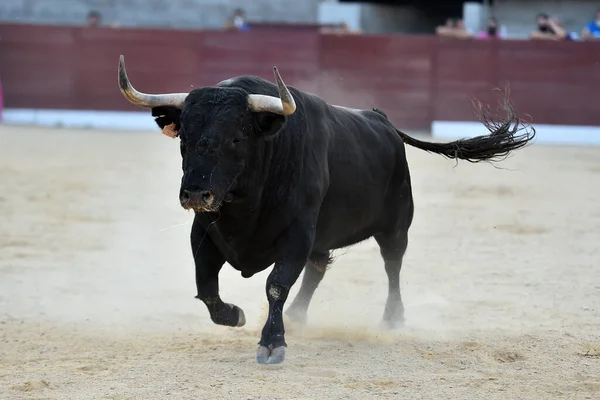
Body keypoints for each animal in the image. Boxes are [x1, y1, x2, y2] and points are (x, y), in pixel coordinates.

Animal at [116, 56, 536, 366]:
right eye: (184, 137)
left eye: (236, 138)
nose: (195, 194)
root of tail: (384, 121)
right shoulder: (203, 233)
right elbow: (206, 288)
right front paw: (236, 315)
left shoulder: (297, 233)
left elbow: (276, 284)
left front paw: (272, 343)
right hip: (324, 237)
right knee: (317, 270)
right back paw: (298, 317)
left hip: (395, 226)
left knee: (392, 266)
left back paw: (392, 319)